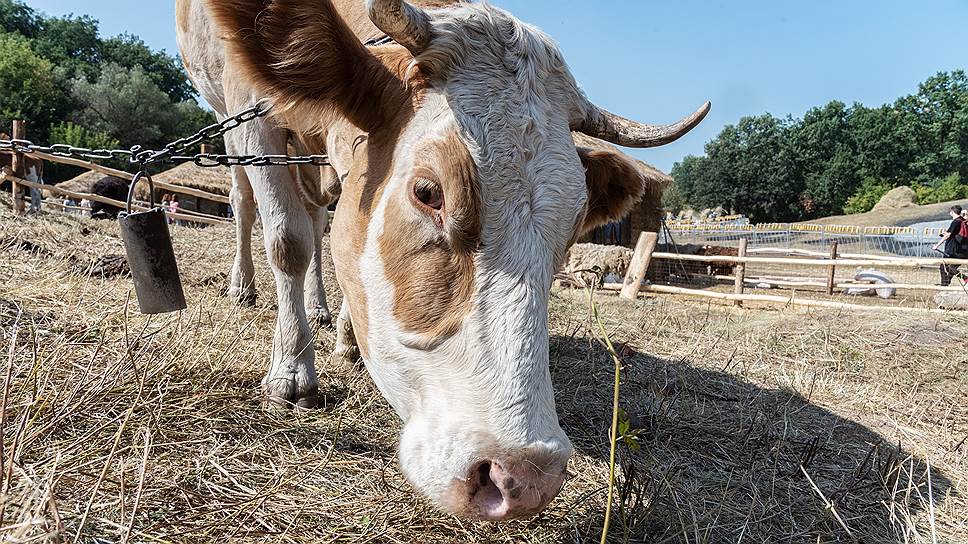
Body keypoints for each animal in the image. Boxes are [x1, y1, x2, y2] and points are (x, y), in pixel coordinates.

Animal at [174, 0, 708, 520]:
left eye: (573, 226)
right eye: (429, 192)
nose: (524, 477)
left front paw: (346, 339)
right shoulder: (248, 109)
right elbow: (288, 240)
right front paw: (291, 373)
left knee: (318, 214)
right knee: (250, 205)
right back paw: (244, 287)